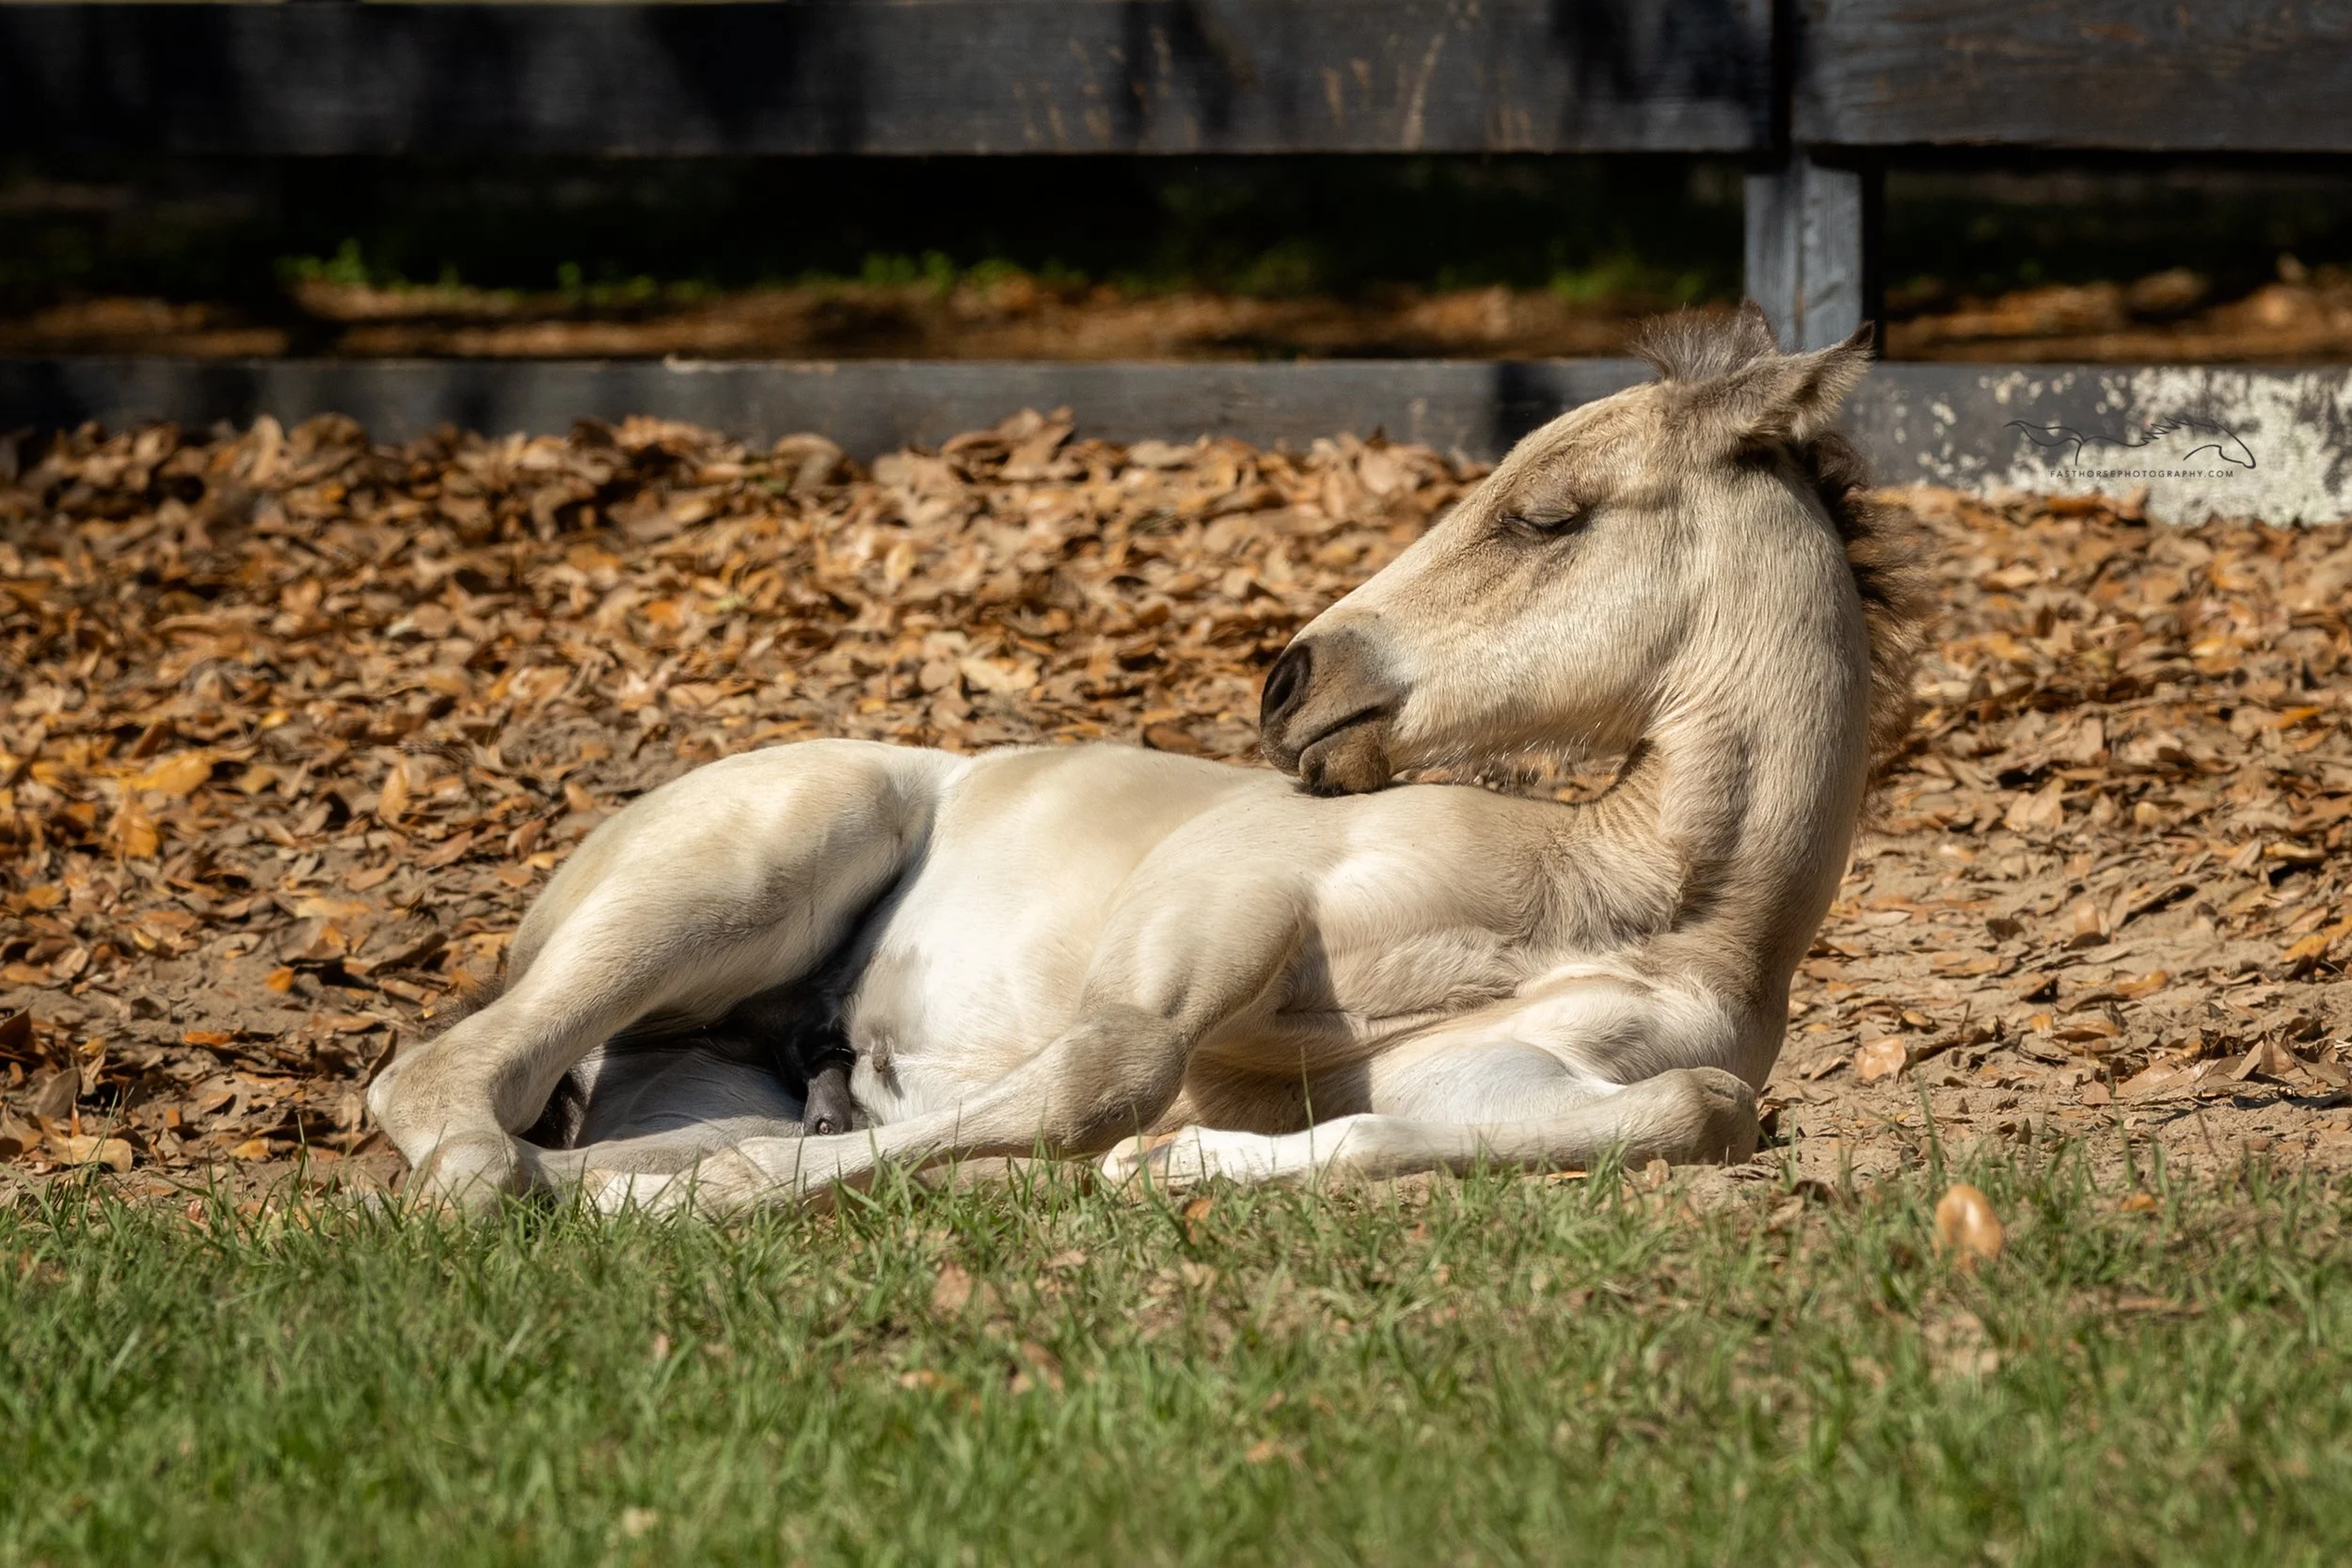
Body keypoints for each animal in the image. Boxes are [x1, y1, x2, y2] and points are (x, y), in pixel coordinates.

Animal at [366, 306, 1923, 1213]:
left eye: (1546, 515)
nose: (1293, 681)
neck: (1623, 901)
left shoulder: (1504, 1081)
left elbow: (1686, 1106)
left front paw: (1178, 1157)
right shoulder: (1230, 891)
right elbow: (1105, 1068)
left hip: (684, 1058)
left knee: (555, 1121)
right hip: (764, 852)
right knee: (437, 1085)